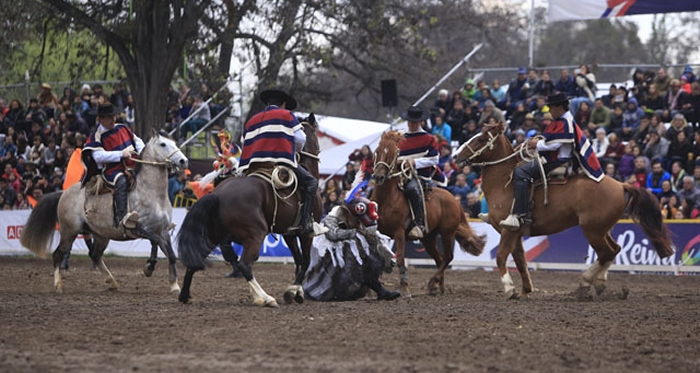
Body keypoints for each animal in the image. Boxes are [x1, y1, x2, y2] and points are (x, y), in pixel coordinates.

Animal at [20, 132, 187, 292]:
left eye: (174, 143)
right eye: (163, 144)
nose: (183, 161)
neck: (153, 194)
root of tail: (63, 193)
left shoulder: (163, 231)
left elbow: (171, 255)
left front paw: (174, 285)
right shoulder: (141, 229)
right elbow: (155, 242)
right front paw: (148, 268)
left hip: (101, 235)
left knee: (95, 255)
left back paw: (111, 282)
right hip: (69, 231)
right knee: (58, 254)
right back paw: (58, 285)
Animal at [179, 115, 322, 306]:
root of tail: (217, 194)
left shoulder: (289, 234)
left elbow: (299, 261)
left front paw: (296, 290)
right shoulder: (306, 234)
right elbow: (305, 262)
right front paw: (294, 290)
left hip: (214, 235)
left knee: (196, 260)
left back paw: (184, 295)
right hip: (255, 235)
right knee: (245, 265)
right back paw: (264, 297)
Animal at [372, 131, 486, 296]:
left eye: (393, 154)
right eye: (377, 151)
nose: (378, 177)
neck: (386, 199)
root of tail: (454, 200)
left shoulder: (399, 233)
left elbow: (400, 259)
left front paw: (405, 289)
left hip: (447, 233)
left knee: (448, 257)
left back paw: (433, 283)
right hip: (429, 238)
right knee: (439, 259)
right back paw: (439, 287)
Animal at [452, 123, 676, 298]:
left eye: (481, 138)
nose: (455, 155)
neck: (505, 183)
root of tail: (621, 185)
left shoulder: (509, 230)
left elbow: (500, 256)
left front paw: (509, 289)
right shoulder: (515, 233)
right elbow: (521, 260)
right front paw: (525, 290)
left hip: (592, 230)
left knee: (607, 252)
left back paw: (586, 283)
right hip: (602, 229)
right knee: (614, 250)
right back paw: (599, 283)